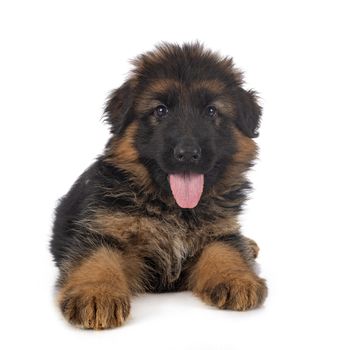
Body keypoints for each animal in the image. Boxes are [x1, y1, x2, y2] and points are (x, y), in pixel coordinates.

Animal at [49, 42, 268, 330]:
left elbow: (225, 248)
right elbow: (97, 258)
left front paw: (236, 276)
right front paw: (97, 293)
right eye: (160, 110)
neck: (171, 206)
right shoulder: (101, 229)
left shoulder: (218, 230)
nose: (187, 154)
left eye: (211, 111)